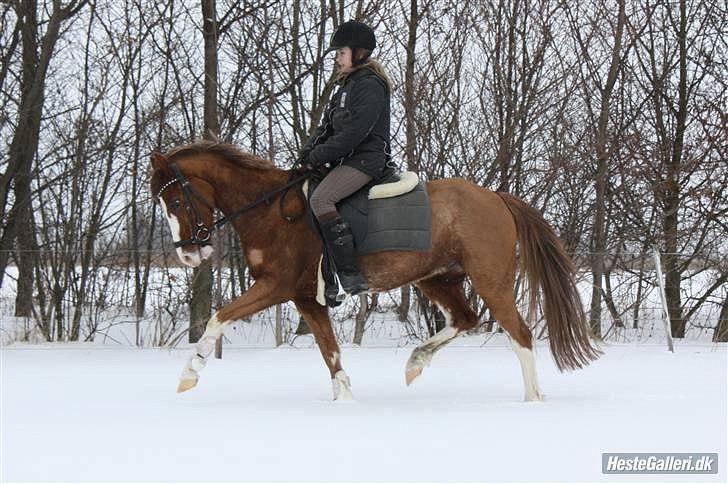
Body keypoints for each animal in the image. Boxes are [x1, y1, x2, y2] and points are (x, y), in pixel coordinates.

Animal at [149, 140, 604, 400]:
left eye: (175, 202)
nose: (189, 256)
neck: (270, 210)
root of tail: (496, 198)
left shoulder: (275, 286)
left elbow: (218, 317)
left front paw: (189, 375)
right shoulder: (306, 299)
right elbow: (330, 352)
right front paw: (345, 400)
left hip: (491, 281)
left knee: (519, 334)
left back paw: (532, 399)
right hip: (438, 278)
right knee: (465, 318)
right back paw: (415, 363)